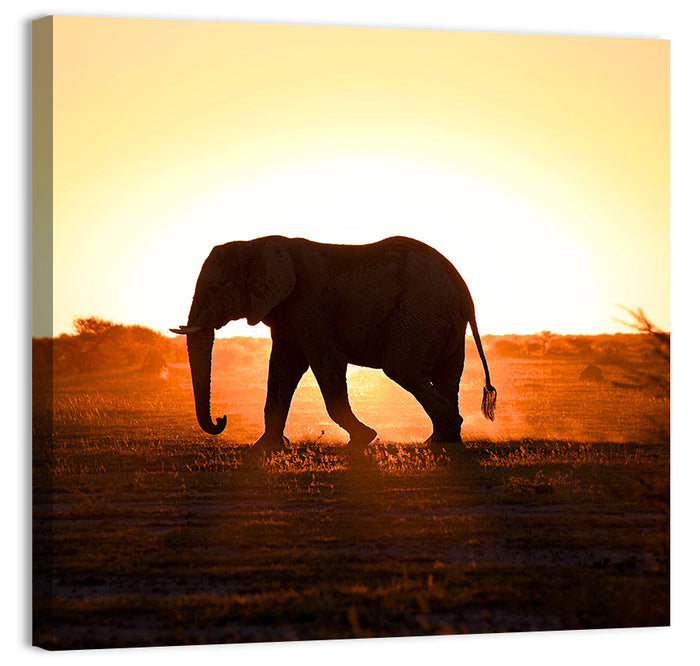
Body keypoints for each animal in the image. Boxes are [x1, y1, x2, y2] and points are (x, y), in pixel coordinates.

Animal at [170, 235, 496, 456]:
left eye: (215, 289)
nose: (221, 418)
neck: (255, 244)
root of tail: (465, 292)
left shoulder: (308, 305)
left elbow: (326, 362)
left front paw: (364, 438)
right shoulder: (288, 313)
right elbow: (283, 370)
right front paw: (265, 447)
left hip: (422, 311)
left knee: (402, 369)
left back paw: (443, 435)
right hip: (442, 320)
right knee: (446, 377)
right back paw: (444, 440)